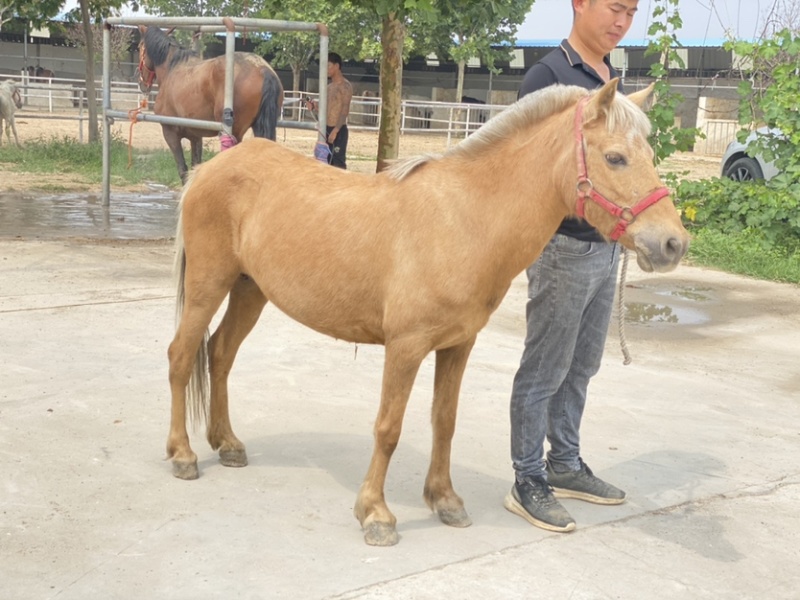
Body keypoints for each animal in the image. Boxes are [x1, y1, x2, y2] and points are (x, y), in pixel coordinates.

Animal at [137, 25, 284, 183]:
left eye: (139, 46)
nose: (142, 83)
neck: (172, 69)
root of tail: (262, 68)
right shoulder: (195, 136)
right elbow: (195, 168)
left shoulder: (170, 133)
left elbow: (183, 170)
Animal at [165, 79, 690, 546]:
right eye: (615, 157)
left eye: (649, 156)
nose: (672, 243)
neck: (465, 220)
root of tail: (210, 168)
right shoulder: (406, 347)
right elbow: (389, 428)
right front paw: (375, 514)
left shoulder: (457, 345)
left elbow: (445, 420)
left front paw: (445, 500)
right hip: (209, 286)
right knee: (181, 356)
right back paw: (184, 454)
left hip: (250, 290)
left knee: (220, 354)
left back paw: (227, 444)